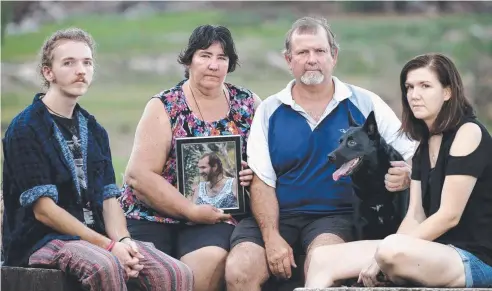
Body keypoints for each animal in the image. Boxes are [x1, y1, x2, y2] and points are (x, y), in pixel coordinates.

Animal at [328, 110, 410, 241]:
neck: (372, 177)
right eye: (340, 142)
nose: (329, 157)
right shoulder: (360, 224)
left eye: (352, 142)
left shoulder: (400, 218)